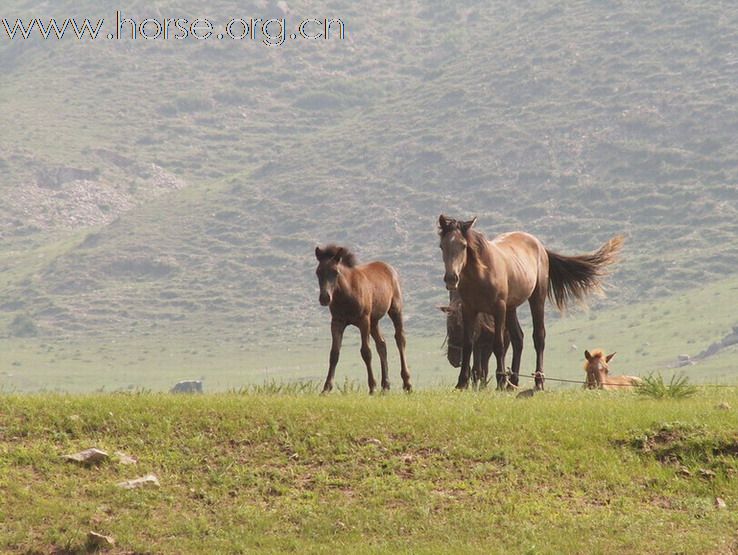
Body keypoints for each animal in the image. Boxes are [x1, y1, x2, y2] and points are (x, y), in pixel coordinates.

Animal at [314, 244, 412, 396]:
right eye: (318, 272)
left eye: (335, 272)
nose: (325, 298)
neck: (346, 294)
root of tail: (389, 268)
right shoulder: (337, 322)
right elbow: (334, 353)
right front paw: (326, 388)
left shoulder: (363, 320)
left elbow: (366, 352)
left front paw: (372, 387)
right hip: (374, 321)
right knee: (382, 344)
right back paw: (385, 385)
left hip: (395, 309)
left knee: (400, 339)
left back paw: (407, 383)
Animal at [436, 215, 620, 394]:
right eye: (442, 246)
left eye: (463, 245)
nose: (451, 278)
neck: (482, 273)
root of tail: (540, 246)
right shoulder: (469, 310)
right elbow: (468, 344)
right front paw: (461, 383)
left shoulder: (499, 309)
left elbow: (498, 345)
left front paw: (500, 381)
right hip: (511, 308)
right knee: (518, 338)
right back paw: (513, 382)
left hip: (536, 299)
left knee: (539, 337)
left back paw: (537, 382)